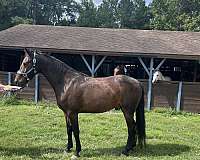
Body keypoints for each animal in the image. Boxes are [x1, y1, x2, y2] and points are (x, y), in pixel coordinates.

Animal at [14, 48, 145, 156]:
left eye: (25, 63)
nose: (17, 81)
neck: (66, 82)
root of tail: (137, 82)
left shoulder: (73, 113)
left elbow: (76, 131)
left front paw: (77, 151)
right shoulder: (66, 113)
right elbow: (69, 129)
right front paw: (68, 148)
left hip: (127, 111)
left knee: (131, 127)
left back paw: (126, 150)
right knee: (134, 127)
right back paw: (132, 147)